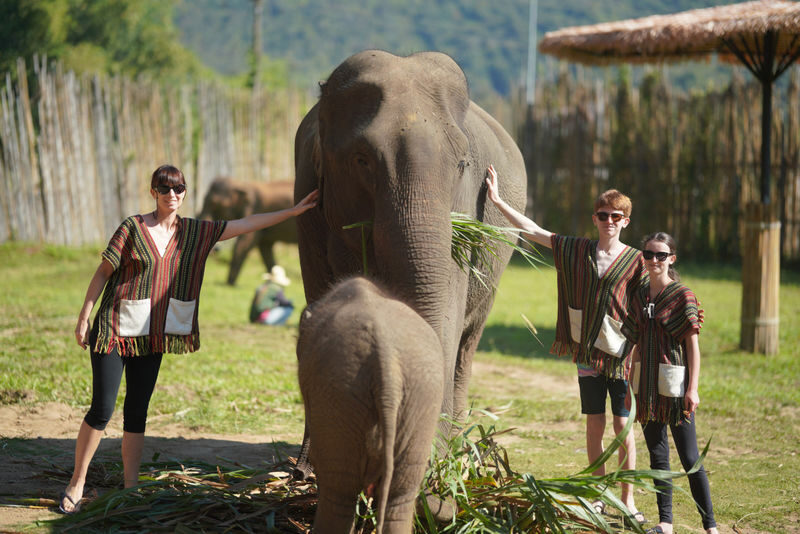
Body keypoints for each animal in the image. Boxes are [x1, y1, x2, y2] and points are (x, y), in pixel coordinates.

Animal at [293, 50, 527, 480]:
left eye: (463, 164)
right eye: (362, 160)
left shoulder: (465, 212)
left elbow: (448, 307)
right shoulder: (309, 199)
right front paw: (315, 469)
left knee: (467, 344)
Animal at [297, 277, 444, 534]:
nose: (297, 473)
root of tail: (388, 361)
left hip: (340, 395)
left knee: (339, 490)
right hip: (422, 397)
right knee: (401, 495)